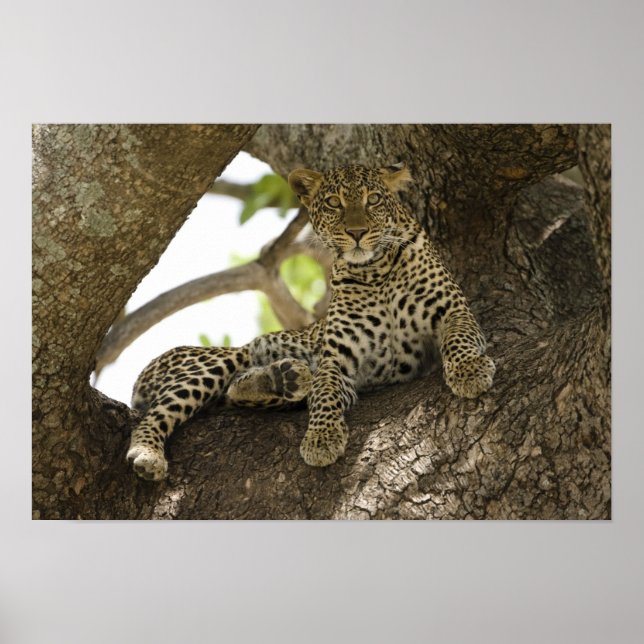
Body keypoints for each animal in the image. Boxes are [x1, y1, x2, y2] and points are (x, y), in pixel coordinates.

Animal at [126, 163, 495, 481]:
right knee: (162, 411)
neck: (375, 272)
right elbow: (325, 393)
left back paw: (284, 377)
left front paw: (470, 372)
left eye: (373, 199)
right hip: (215, 360)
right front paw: (322, 438)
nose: (357, 232)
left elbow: (459, 338)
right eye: (334, 203)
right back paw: (148, 453)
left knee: (237, 391)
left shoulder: (453, 311)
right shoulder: (337, 359)